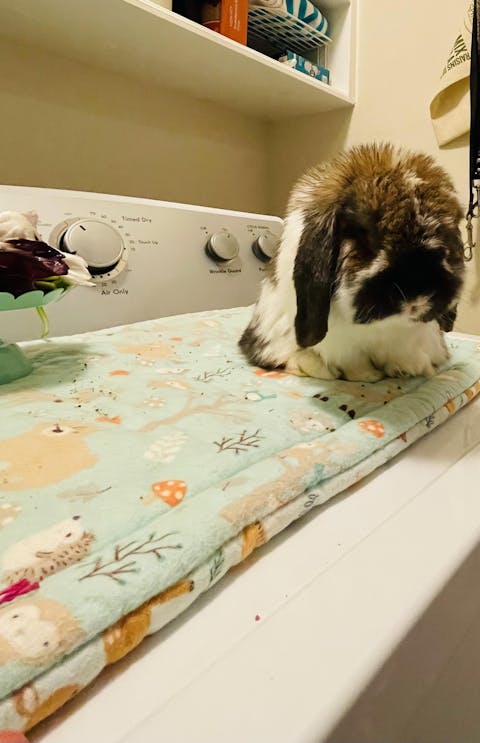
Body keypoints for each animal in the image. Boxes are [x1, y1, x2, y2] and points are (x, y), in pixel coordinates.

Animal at [240, 143, 465, 381]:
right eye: (362, 232)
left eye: (445, 235)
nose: (416, 297)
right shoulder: (341, 346)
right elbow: (352, 362)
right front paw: (367, 376)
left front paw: (406, 369)